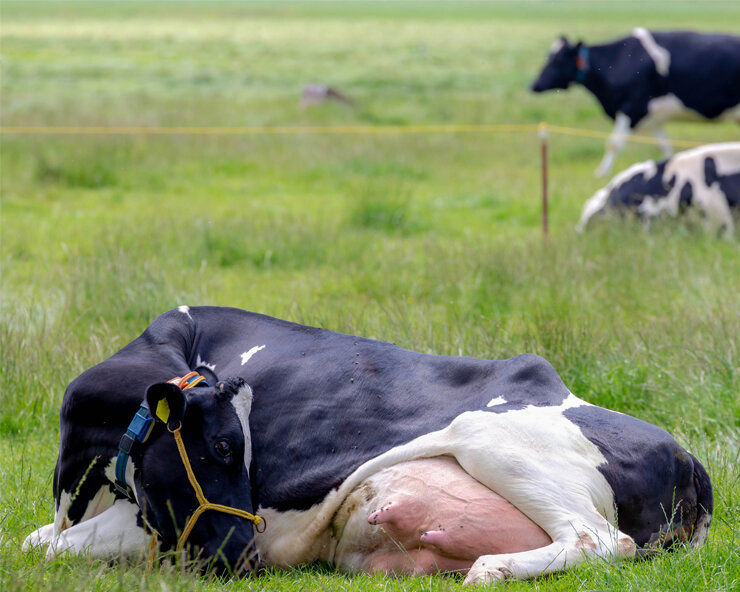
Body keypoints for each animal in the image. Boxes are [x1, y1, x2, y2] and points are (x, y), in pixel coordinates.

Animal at [26, 308, 712, 584]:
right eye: (222, 447)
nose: (247, 557)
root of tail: (686, 456)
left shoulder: (159, 524)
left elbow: (53, 548)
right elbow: (40, 539)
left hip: (493, 441)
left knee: (600, 539)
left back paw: (493, 569)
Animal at [532, 28, 740, 176]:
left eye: (558, 60)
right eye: (548, 57)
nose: (534, 85)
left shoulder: (632, 108)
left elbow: (613, 143)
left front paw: (601, 173)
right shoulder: (653, 117)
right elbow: (665, 146)